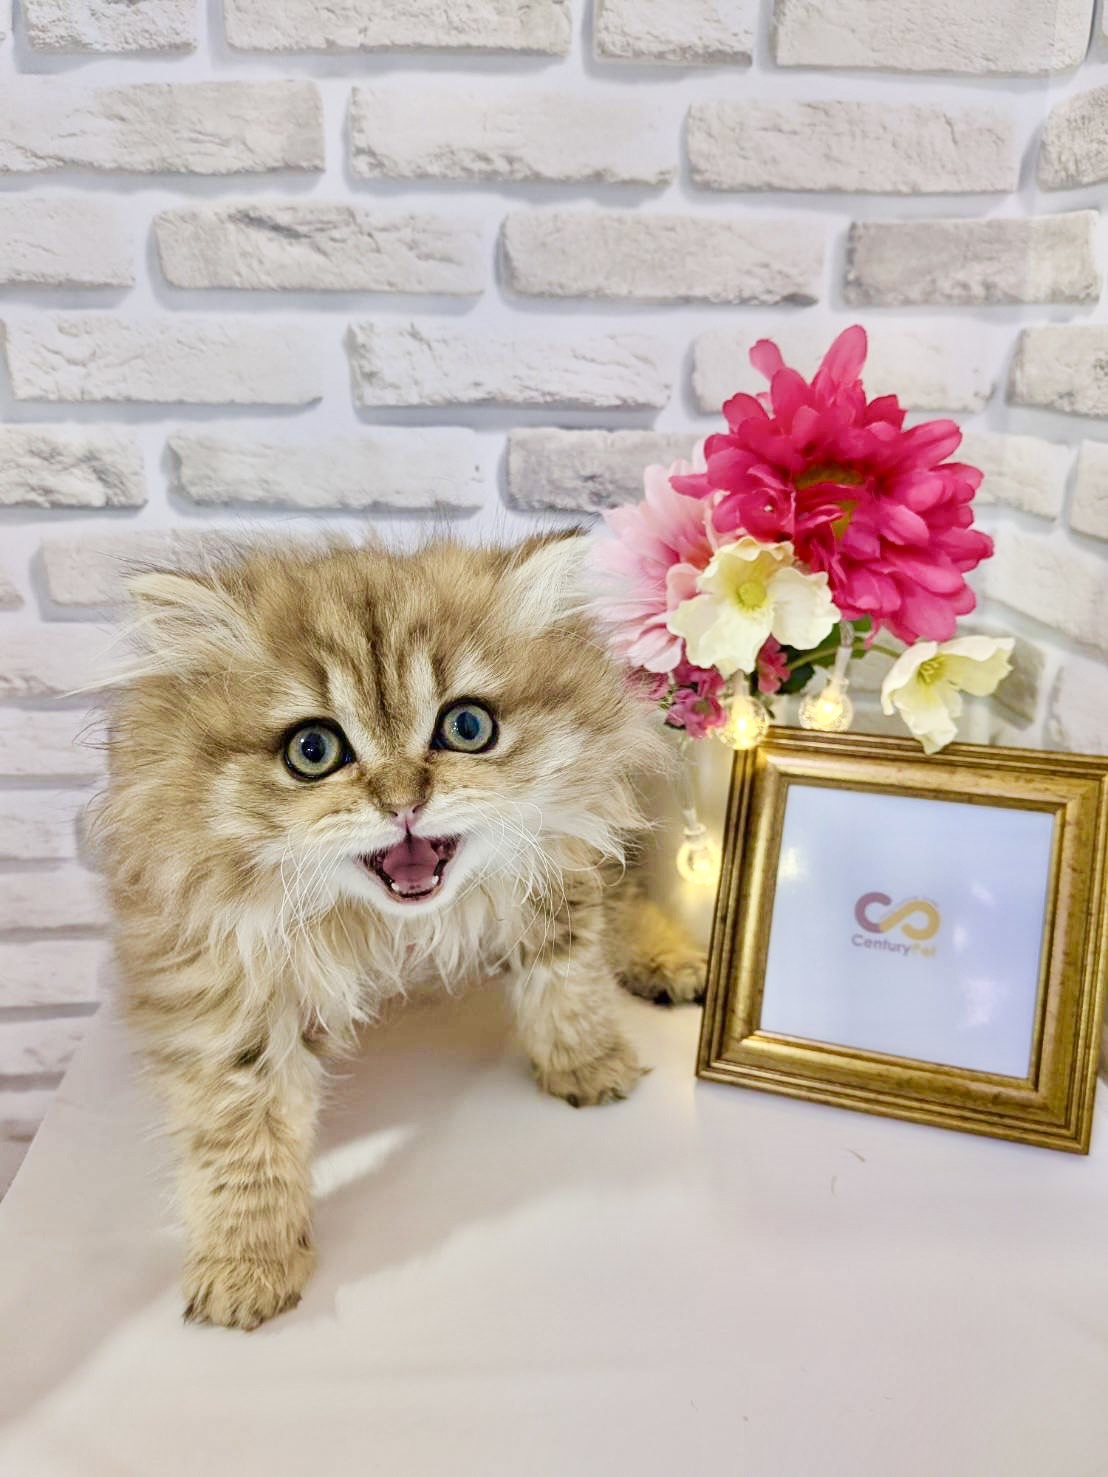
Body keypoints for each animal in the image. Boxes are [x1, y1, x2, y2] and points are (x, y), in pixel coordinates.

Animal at [96, 531, 705, 1330]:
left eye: (467, 727)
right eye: (313, 751)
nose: (403, 804)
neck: (389, 926)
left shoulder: (555, 862)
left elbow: (567, 978)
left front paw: (587, 1062)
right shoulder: (219, 981)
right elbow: (241, 1137)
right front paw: (248, 1264)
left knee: (626, 892)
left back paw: (670, 961)